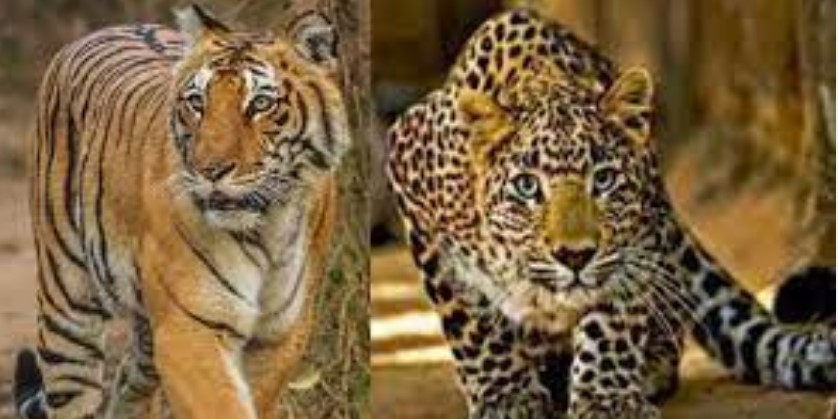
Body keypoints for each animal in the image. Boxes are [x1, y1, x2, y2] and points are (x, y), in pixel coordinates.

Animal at [13, 5, 350, 418]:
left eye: (260, 104)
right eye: (197, 103)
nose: (210, 170)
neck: (267, 226)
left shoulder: (281, 335)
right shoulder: (189, 328)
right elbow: (222, 404)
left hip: (144, 342)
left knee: (128, 383)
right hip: (67, 302)